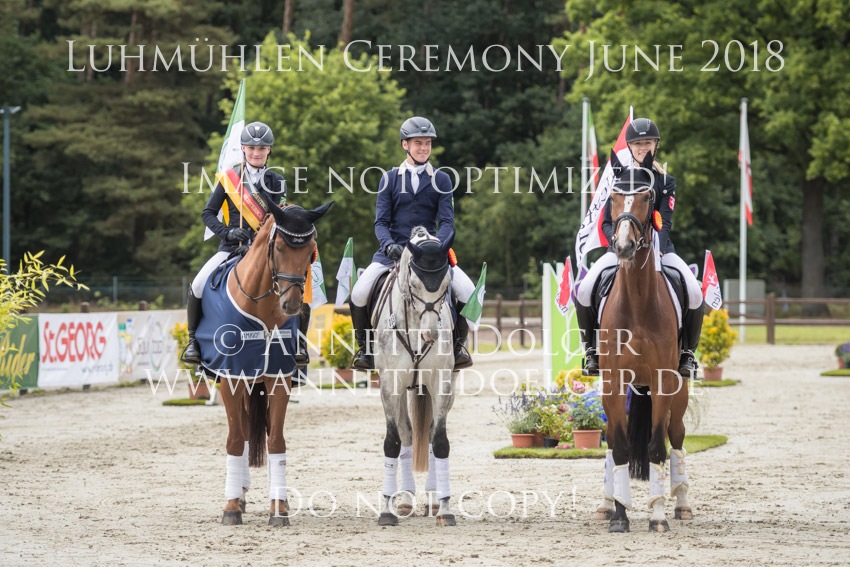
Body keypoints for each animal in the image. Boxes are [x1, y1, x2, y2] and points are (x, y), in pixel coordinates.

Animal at [195, 201, 333, 526]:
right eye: (279, 247)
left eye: (310, 250)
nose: (291, 305)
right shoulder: (231, 377)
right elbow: (235, 440)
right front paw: (231, 507)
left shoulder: (278, 377)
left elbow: (277, 441)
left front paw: (278, 508)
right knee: (243, 433)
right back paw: (240, 495)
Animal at [373, 227, 457, 526]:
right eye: (414, 282)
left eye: (446, 283)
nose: (430, 334)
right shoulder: (389, 386)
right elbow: (393, 442)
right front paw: (386, 510)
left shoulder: (442, 383)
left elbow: (440, 442)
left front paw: (445, 510)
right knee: (407, 433)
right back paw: (406, 499)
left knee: (429, 434)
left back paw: (432, 498)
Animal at [591, 176, 692, 533]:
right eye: (612, 197)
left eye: (648, 198)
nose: (623, 246)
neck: (636, 301)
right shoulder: (613, 383)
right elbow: (619, 447)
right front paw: (620, 515)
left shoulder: (663, 383)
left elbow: (656, 448)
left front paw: (658, 516)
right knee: (610, 440)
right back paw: (606, 504)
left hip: (679, 389)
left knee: (677, 436)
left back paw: (682, 504)